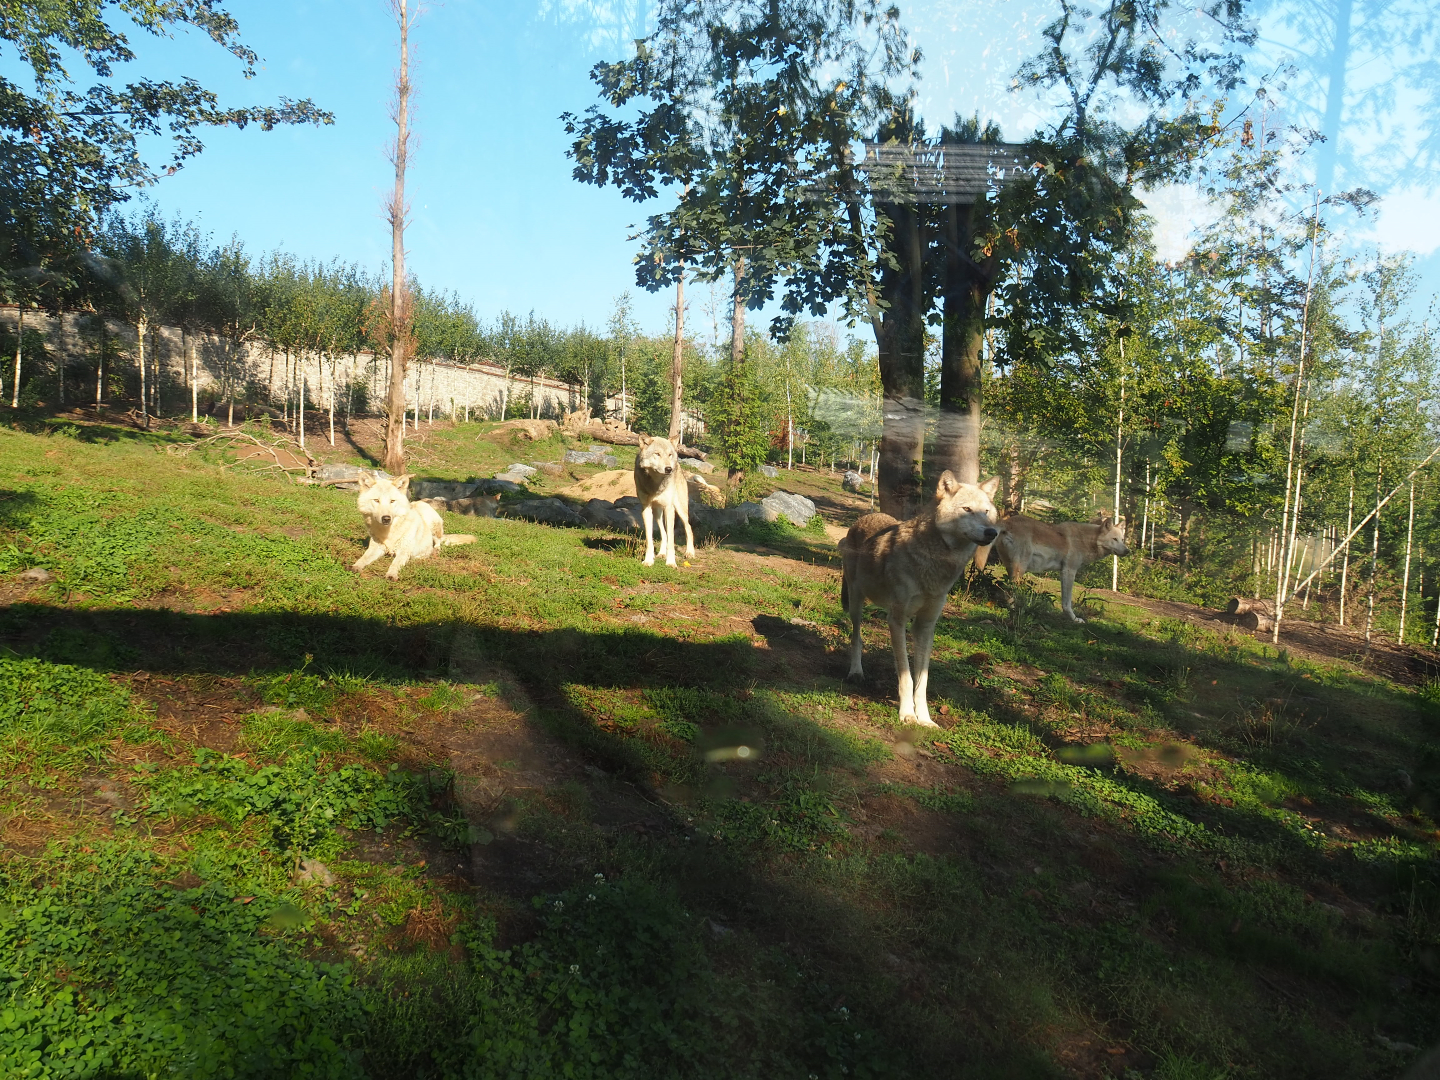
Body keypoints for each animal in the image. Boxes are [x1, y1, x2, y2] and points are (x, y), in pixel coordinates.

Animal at [634, 435, 695, 568]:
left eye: (669, 455)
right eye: (657, 454)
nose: (669, 469)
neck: (656, 484)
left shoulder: (669, 508)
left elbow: (671, 541)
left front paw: (671, 562)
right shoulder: (646, 509)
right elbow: (650, 539)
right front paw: (648, 560)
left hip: (680, 509)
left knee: (688, 527)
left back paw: (690, 553)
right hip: (657, 513)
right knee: (664, 532)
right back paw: (661, 554)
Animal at [840, 472, 1000, 727]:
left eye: (986, 512)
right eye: (967, 509)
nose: (992, 532)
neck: (935, 565)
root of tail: (862, 519)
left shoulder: (925, 625)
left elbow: (922, 680)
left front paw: (924, 718)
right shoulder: (897, 620)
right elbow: (906, 676)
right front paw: (907, 714)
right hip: (856, 603)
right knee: (856, 638)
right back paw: (856, 673)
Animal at [989, 512, 1129, 623]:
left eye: (1122, 540)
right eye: (1114, 539)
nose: (1128, 551)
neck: (1086, 540)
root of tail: (1007, 522)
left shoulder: (1063, 572)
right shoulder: (1069, 571)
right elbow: (1067, 602)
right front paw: (1074, 619)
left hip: (1010, 567)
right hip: (1020, 569)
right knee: (1010, 590)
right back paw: (1016, 609)